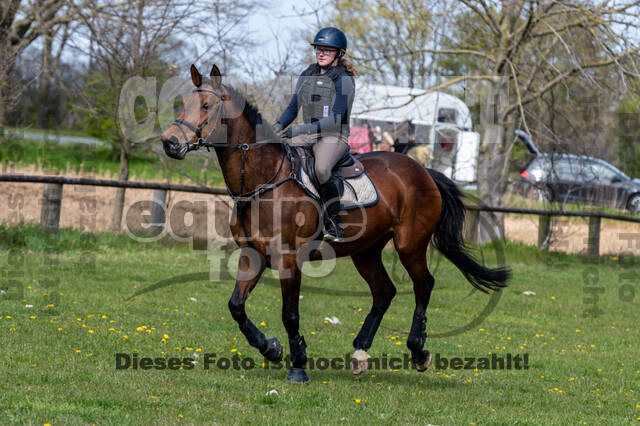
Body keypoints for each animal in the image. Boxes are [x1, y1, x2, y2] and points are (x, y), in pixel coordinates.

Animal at [161, 63, 510, 382]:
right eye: (183, 104)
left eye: (206, 106)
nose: (170, 142)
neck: (263, 181)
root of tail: (423, 171)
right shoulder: (253, 255)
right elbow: (236, 307)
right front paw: (271, 348)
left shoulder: (289, 260)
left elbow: (290, 315)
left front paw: (298, 365)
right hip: (366, 250)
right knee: (384, 292)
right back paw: (360, 351)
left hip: (410, 244)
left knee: (424, 285)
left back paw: (418, 350)